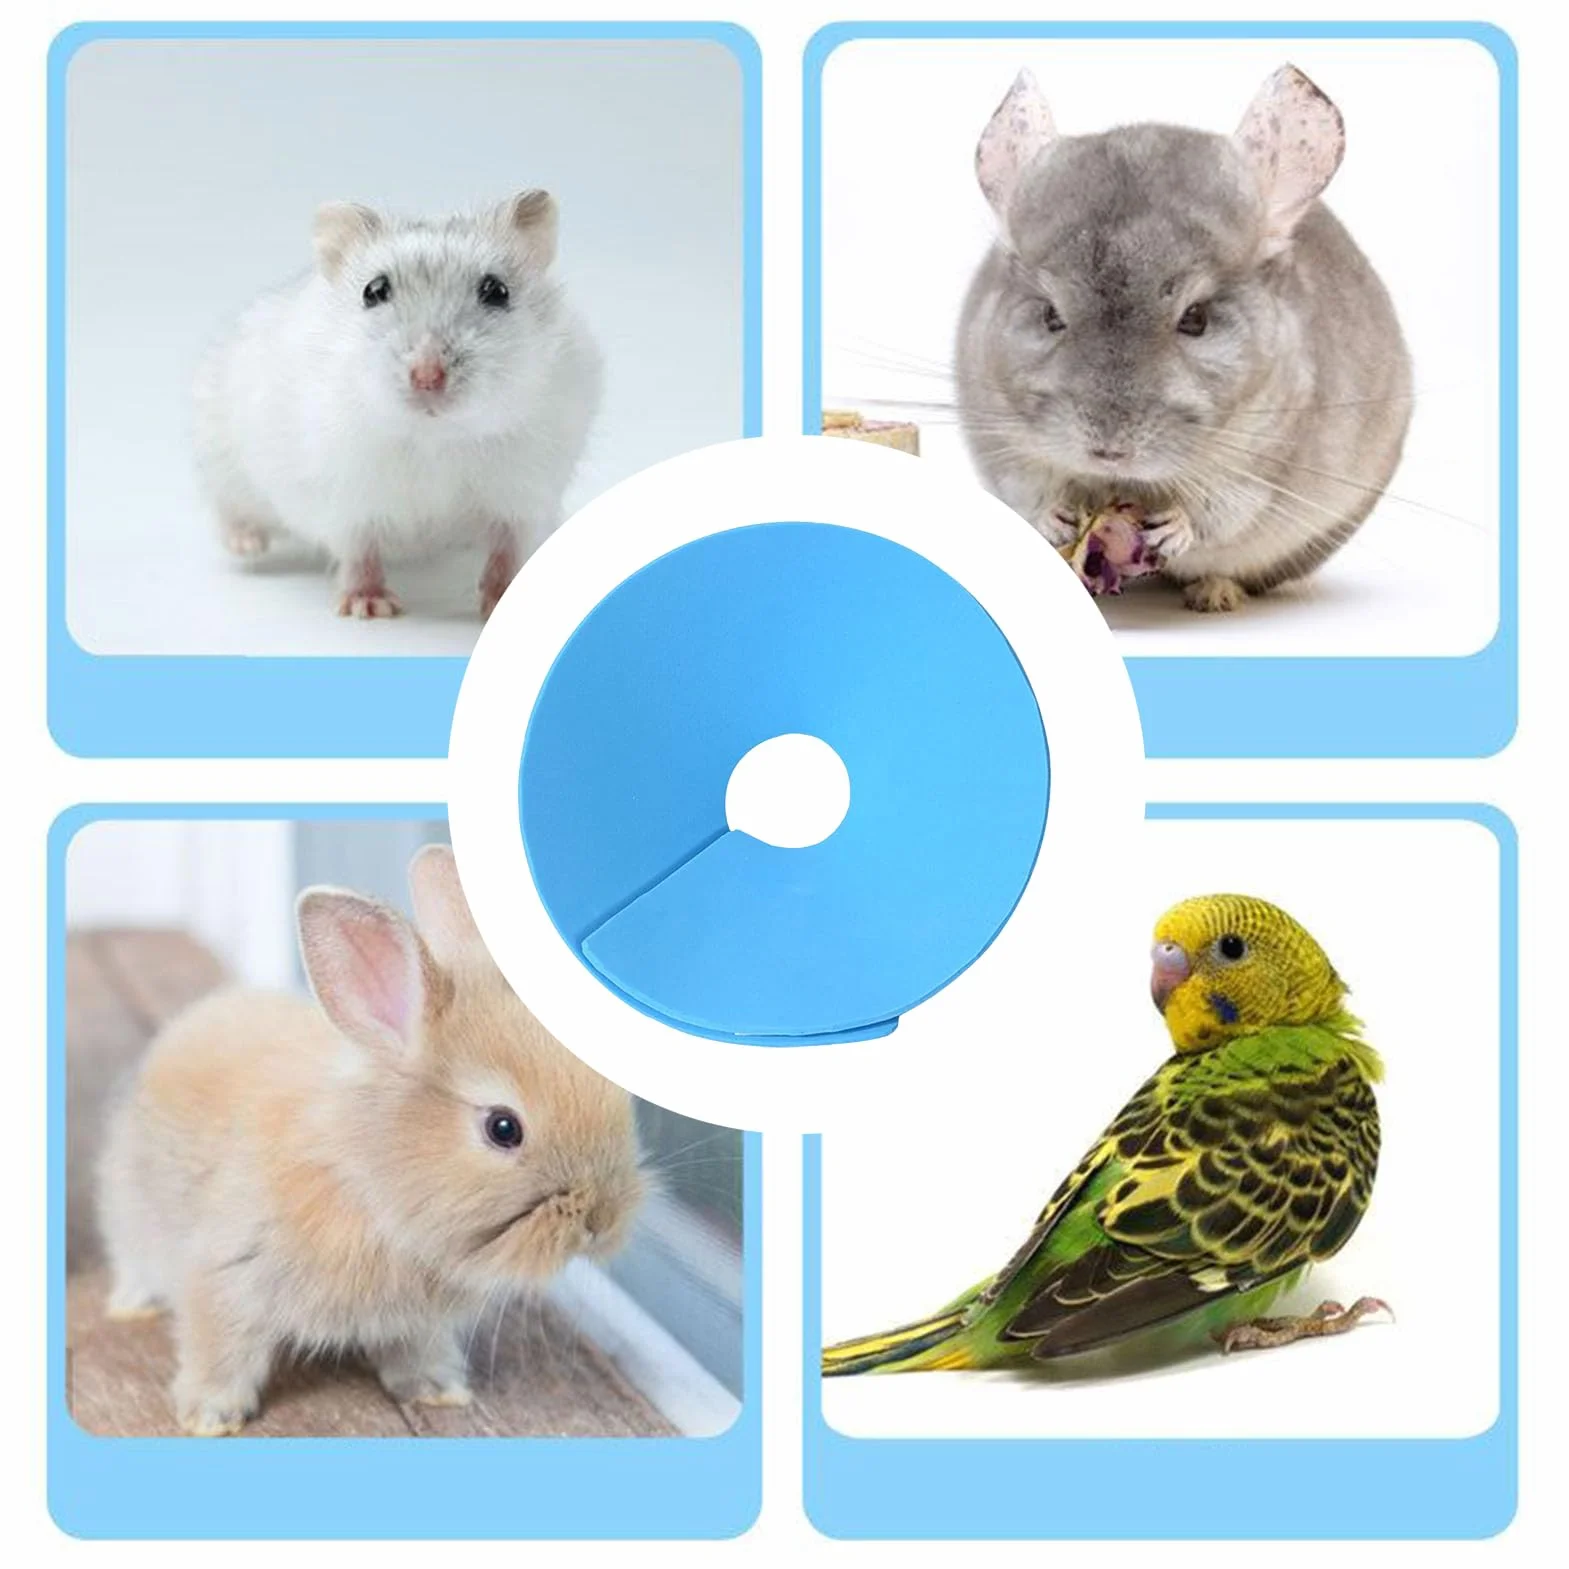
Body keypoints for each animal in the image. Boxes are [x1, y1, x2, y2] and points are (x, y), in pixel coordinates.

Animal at [96, 845, 644, 1436]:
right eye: (503, 1128)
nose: (602, 1221)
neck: (368, 1183)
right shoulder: (225, 1278)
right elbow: (218, 1349)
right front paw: (210, 1416)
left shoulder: (417, 1326)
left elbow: (416, 1356)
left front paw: (440, 1393)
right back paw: (131, 1306)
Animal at [192, 192, 601, 619]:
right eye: (373, 291)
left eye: (497, 291)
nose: (428, 377)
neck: (436, 436)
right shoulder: (346, 499)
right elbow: (359, 552)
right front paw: (370, 607)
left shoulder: (523, 495)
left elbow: (507, 551)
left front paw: (501, 600)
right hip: (220, 455)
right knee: (229, 509)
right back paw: (248, 546)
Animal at [956, 64, 1412, 611]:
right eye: (1050, 316)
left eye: (1196, 319)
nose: (1109, 451)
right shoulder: (998, 435)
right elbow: (1026, 485)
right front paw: (1055, 517)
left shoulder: (1264, 462)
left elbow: (1220, 510)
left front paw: (1173, 528)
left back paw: (1213, 594)